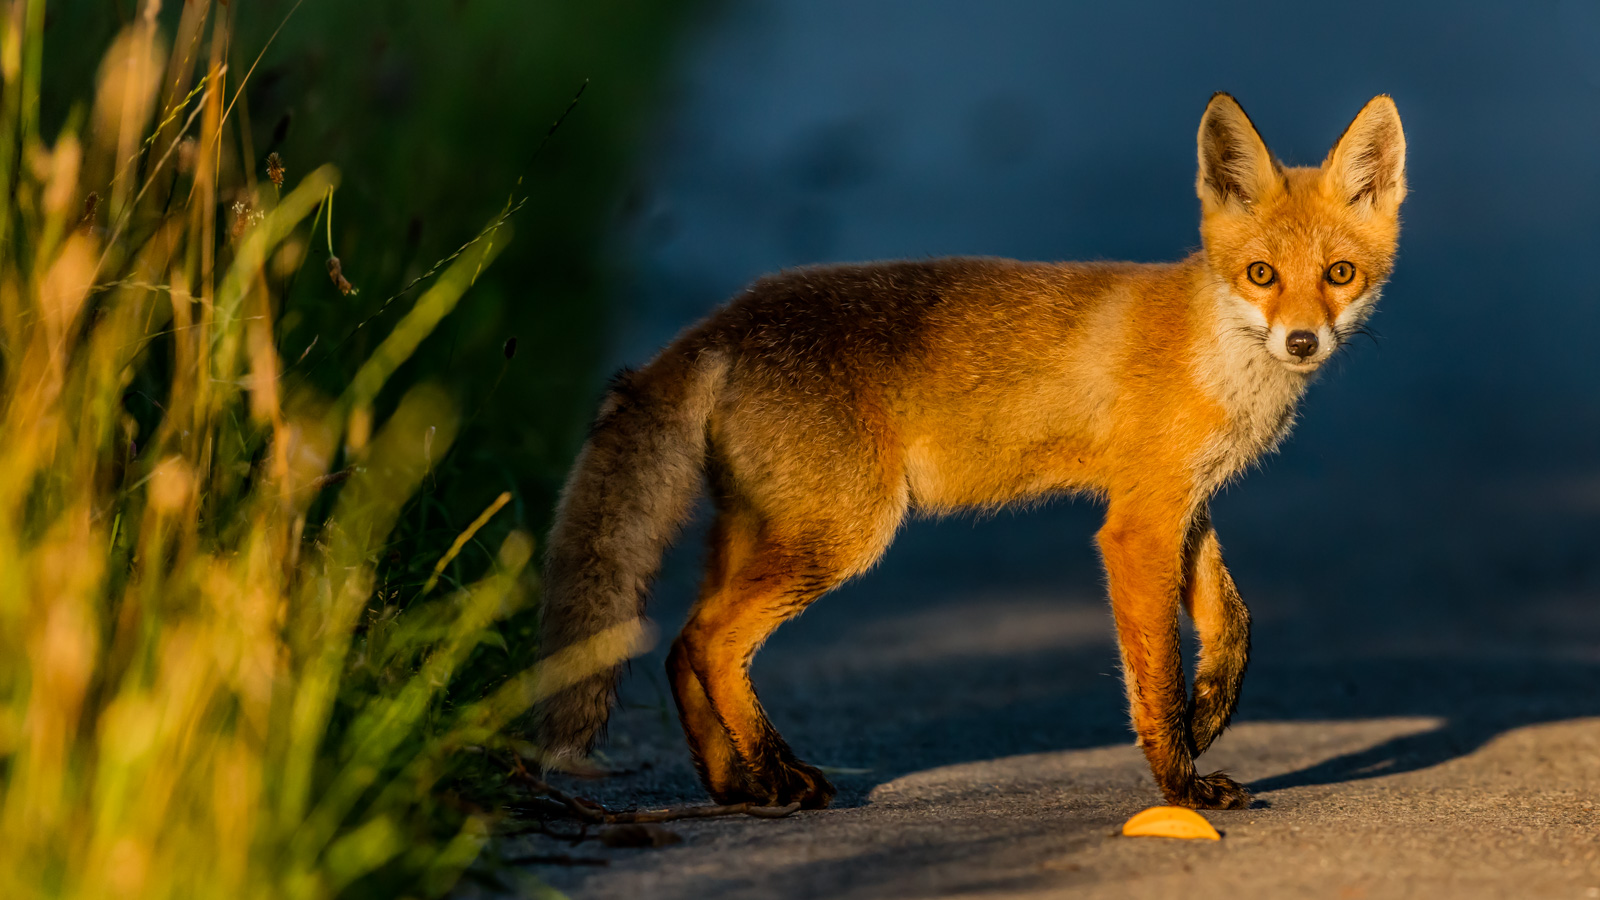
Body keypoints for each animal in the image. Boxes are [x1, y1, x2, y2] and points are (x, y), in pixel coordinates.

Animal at [537, 94, 1401, 810]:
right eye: (1261, 274)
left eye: (1339, 275)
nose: (1302, 341)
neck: (1216, 356)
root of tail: (721, 321)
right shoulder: (1135, 527)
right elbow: (1154, 674)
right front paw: (1180, 785)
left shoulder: (1180, 502)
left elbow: (1235, 619)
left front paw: (1211, 709)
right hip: (842, 534)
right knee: (708, 639)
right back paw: (779, 772)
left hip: (762, 530)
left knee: (680, 645)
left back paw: (735, 783)